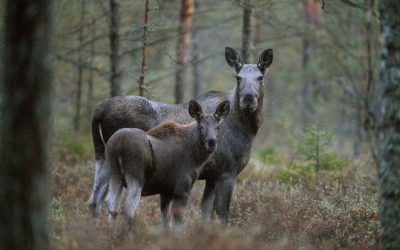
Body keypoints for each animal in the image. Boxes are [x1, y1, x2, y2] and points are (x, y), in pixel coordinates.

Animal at [104, 99, 230, 229]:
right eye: (200, 126)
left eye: (218, 127)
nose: (211, 142)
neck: (196, 157)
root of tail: (118, 144)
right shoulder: (182, 190)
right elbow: (177, 224)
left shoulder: (165, 191)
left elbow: (166, 223)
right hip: (136, 178)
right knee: (128, 208)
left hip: (115, 174)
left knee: (111, 205)